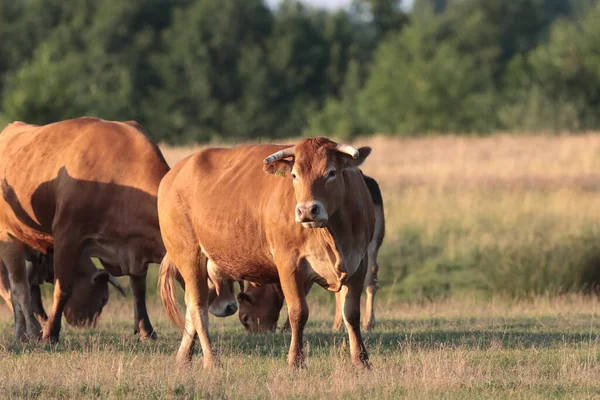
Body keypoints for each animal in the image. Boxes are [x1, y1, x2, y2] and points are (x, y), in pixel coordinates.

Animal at [237, 173, 386, 332]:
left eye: (245, 317)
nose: (256, 332)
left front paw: (287, 327)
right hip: (370, 244)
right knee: (370, 277)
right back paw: (363, 322)